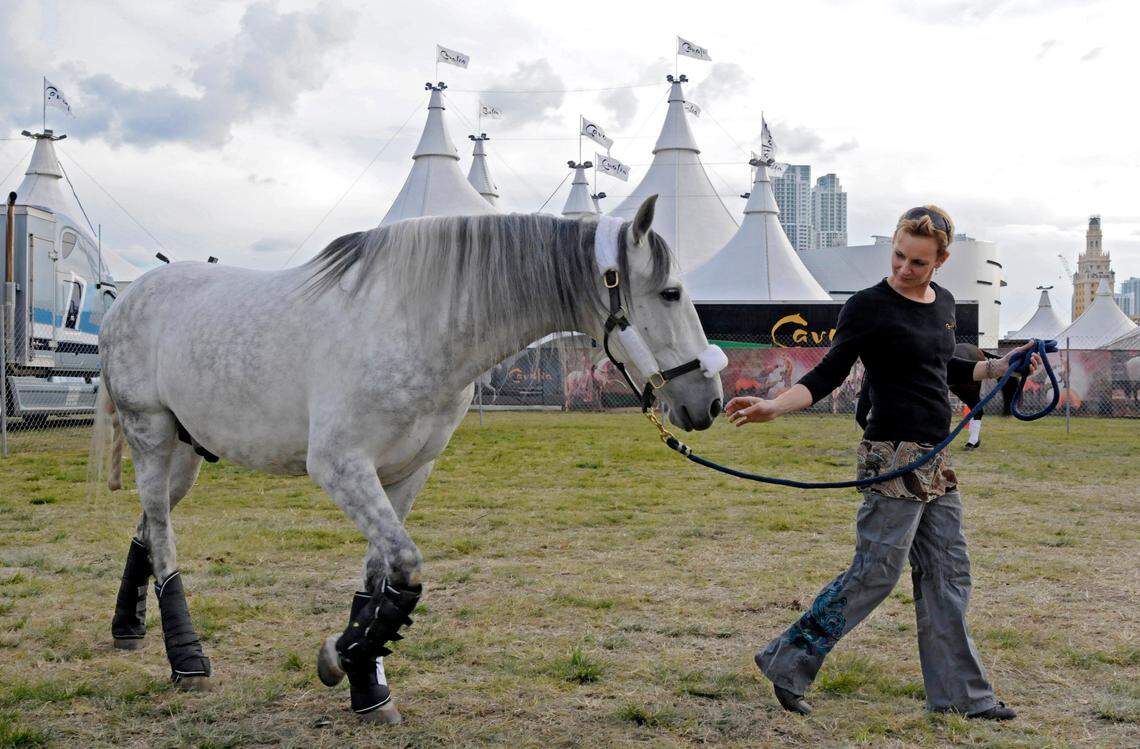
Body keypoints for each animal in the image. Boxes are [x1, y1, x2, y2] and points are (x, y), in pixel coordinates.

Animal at [95, 196, 724, 723]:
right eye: (671, 293)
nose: (710, 401)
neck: (416, 324)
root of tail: (129, 296)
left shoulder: (404, 475)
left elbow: (380, 582)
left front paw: (362, 678)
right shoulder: (342, 468)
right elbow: (408, 570)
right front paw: (341, 658)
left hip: (187, 454)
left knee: (147, 528)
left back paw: (128, 628)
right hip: (151, 437)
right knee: (163, 538)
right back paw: (188, 661)